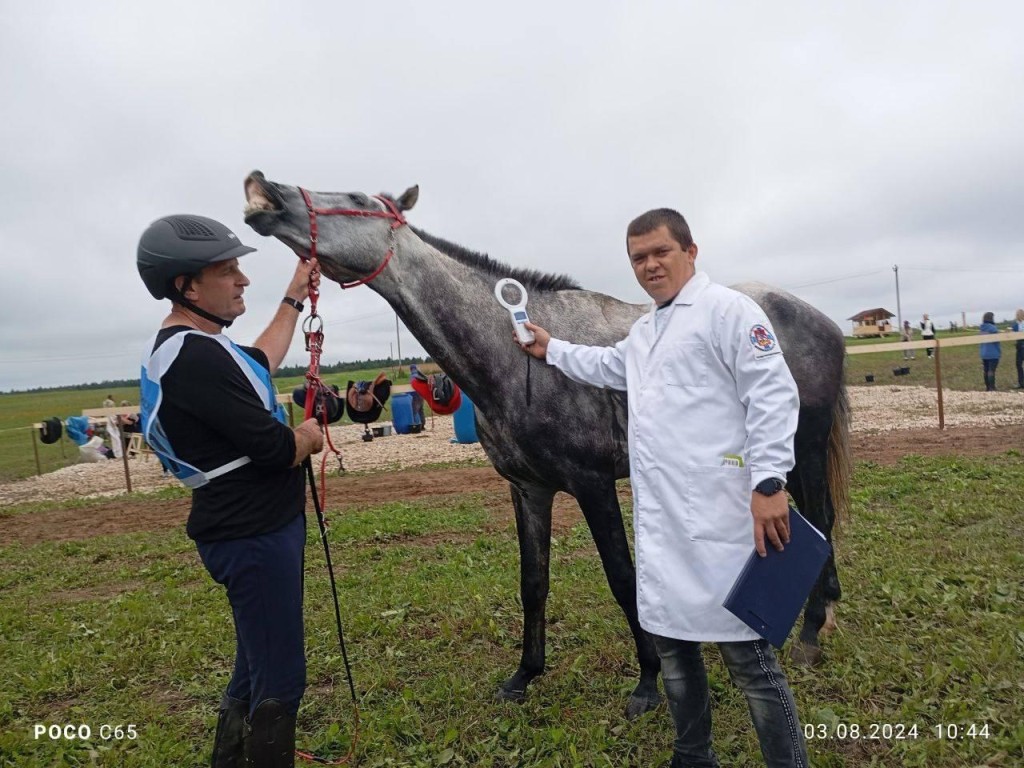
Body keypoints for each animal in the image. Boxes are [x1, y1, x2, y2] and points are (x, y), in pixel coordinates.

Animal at [241, 171, 847, 720]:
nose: (263, 188)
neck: (514, 359)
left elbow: (623, 580)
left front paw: (648, 681)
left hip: (804, 443)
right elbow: (533, 583)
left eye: (359, 199)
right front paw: (525, 674)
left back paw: (812, 630)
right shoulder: (529, 490)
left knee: (820, 518)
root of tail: (819, 319)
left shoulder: (593, 485)